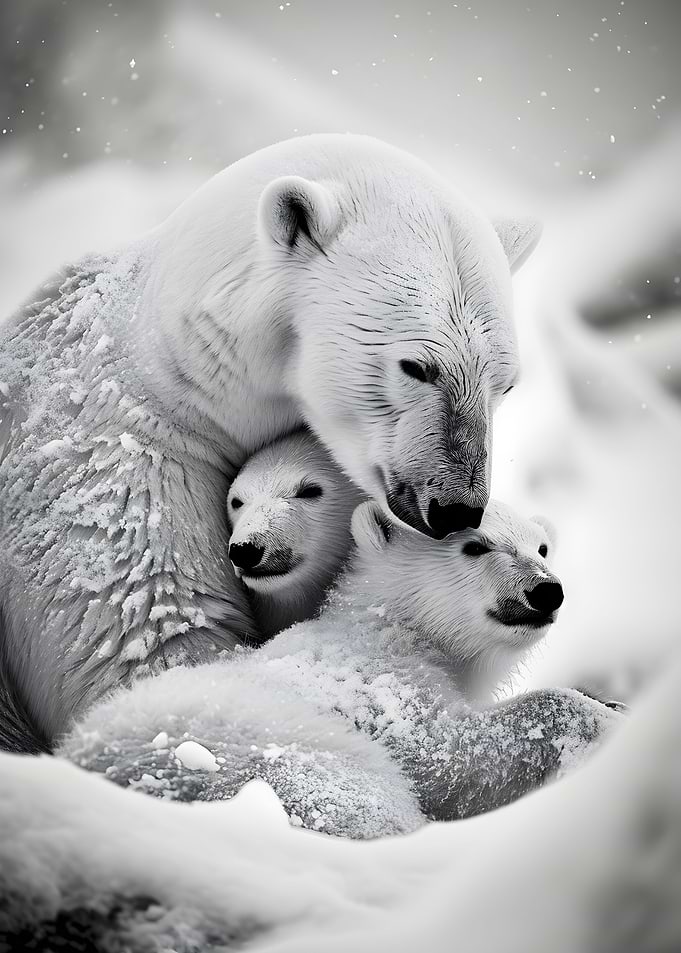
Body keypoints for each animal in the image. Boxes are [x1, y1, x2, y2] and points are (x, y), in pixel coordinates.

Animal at [59, 496, 622, 839]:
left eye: (542, 547)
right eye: (475, 545)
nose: (546, 590)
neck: (386, 621)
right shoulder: (378, 684)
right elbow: (451, 758)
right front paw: (602, 717)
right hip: (270, 758)